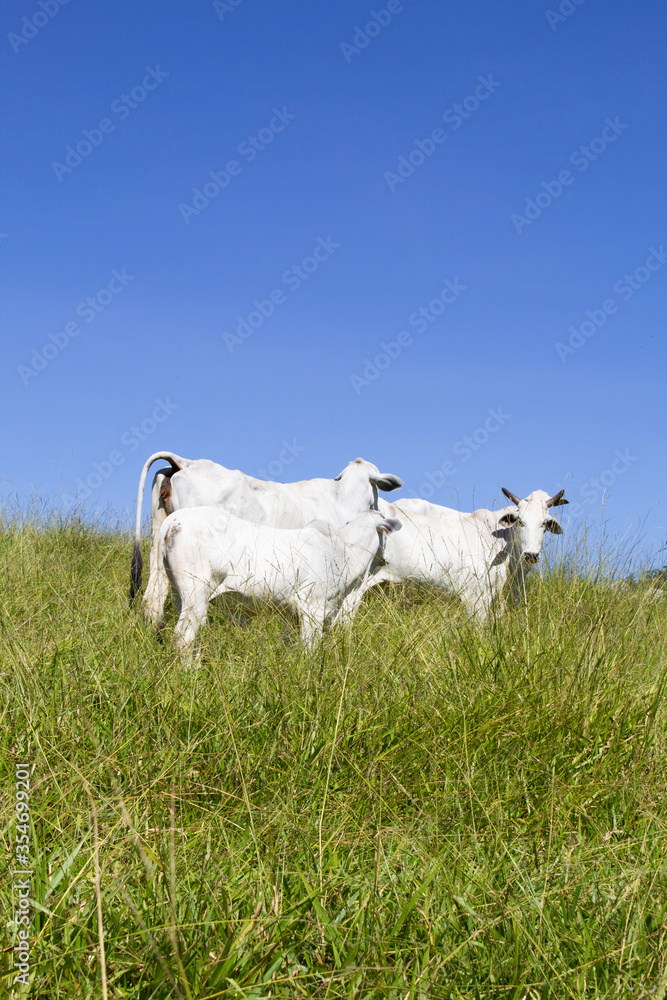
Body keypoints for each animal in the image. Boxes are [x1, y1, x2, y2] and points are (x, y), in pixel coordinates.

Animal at [150, 507, 402, 660]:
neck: (343, 550)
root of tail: (174, 519)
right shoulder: (313, 608)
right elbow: (309, 649)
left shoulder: (292, 615)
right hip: (196, 591)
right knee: (183, 637)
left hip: (181, 596)